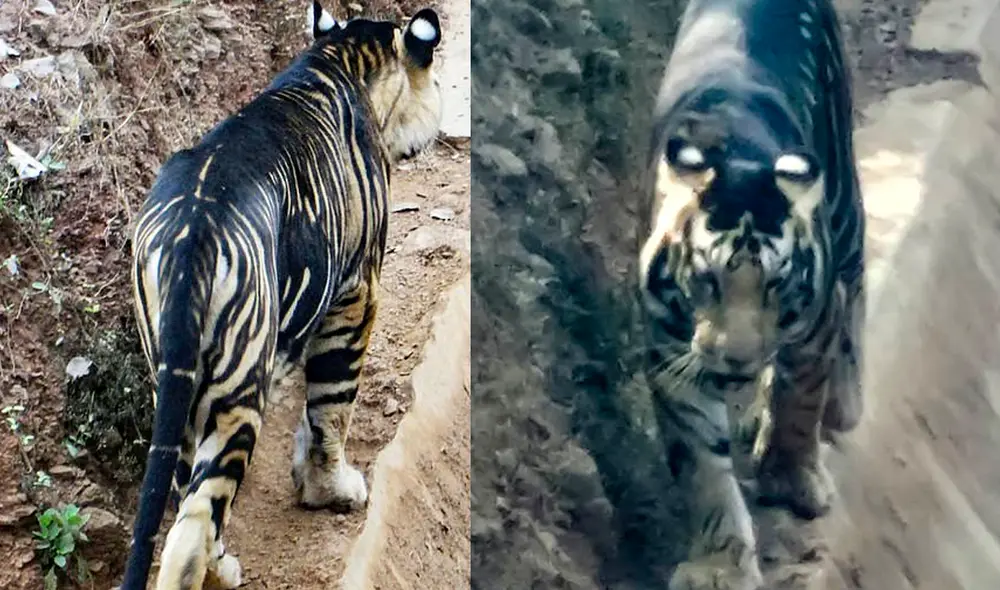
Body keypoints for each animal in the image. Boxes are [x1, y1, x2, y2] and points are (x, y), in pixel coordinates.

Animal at [121, 3, 443, 589]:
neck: (340, 56)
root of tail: (192, 231)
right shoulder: (356, 292)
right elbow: (333, 405)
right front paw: (331, 490)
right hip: (236, 391)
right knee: (190, 527)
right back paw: (219, 573)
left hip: (176, 388)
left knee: (187, 498)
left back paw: (221, 564)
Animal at [637, 0, 865, 588]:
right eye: (707, 280)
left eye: (776, 283)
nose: (738, 359)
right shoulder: (671, 354)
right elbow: (703, 469)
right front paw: (719, 566)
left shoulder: (815, 324)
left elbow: (799, 401)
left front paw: (792, 479)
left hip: (845, 199)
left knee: (857, 280)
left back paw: (847, 401)